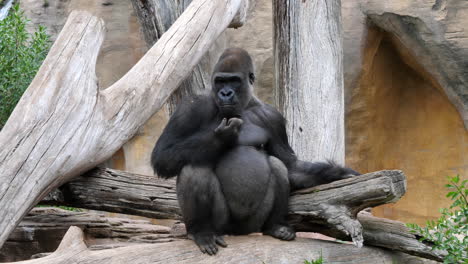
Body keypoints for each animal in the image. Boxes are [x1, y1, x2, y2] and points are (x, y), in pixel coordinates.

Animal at [152, 48, 356, 255]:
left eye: (234, 80)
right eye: (220, 81)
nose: (225, 93)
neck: (245, 105)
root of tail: (236, 233)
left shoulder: (273, 117)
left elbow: (289, 164)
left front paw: (337, 173)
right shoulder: (191, 106)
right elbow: (163, 156)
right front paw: (222, 138)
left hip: (252, 225)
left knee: (277, 165)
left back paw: (274, 226)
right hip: (222, 225)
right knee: (194, 167)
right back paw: (201, 231)